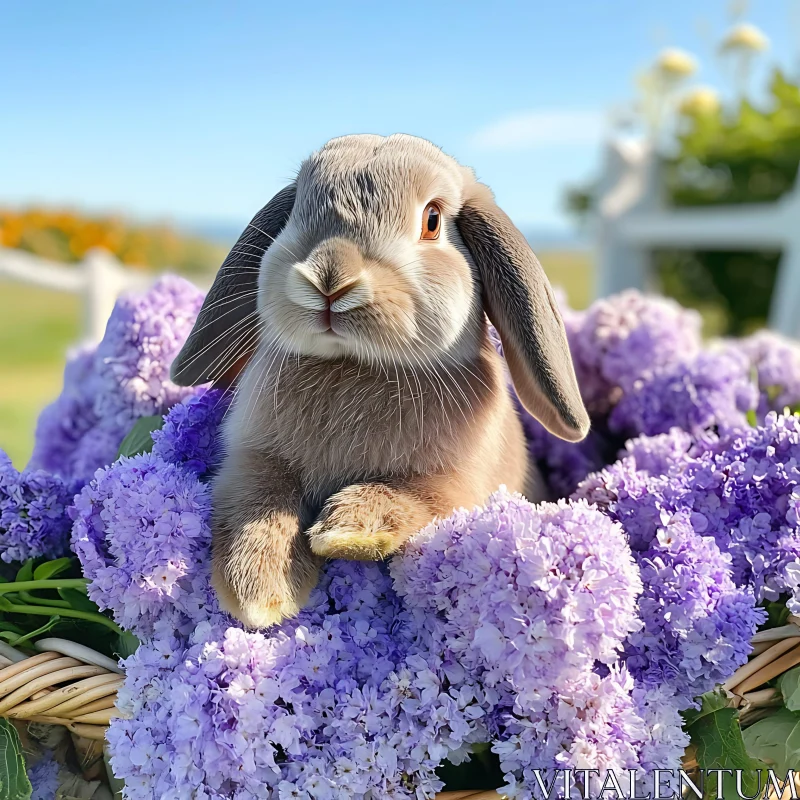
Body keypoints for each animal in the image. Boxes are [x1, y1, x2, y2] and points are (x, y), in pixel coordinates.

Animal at [173, 134, 588, 628]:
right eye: (297, 210)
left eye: (432, 221)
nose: (329, 277)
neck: (355, 365)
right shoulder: (253, 461)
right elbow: (259, 504)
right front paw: (258, 592)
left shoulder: (452, 485)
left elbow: (410, 498)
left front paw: (345, 532)